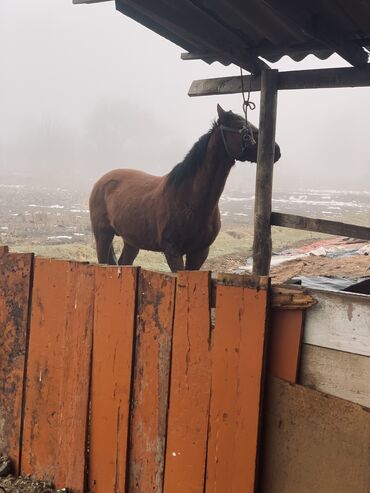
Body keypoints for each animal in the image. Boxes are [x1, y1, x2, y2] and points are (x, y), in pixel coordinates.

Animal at [89, 104, 280, 270]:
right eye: (241, 127)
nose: (276, 150)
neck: (190, 199)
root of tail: (102, 181)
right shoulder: (172, 251)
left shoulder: (200, 252)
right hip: (103, 235)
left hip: (131, 241)